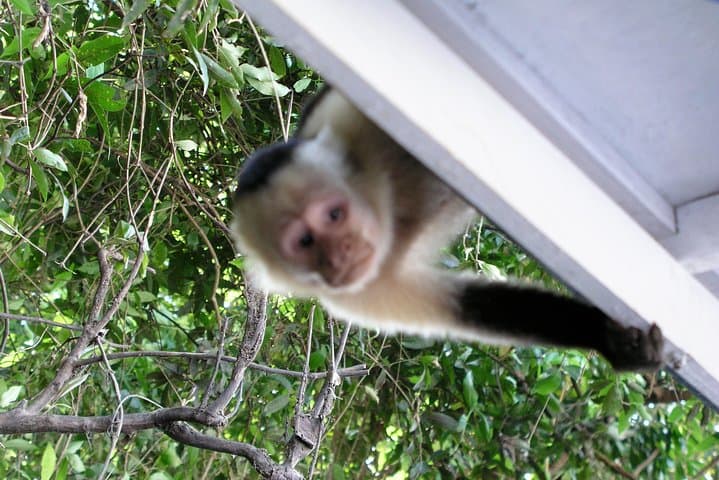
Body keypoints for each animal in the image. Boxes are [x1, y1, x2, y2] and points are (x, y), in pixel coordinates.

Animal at [232, 87, 664, 372]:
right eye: (304, 242)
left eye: (334, 215)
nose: (340, 257)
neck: (391, 209)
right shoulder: (359, 293)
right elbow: (469, 306)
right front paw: (610, 342)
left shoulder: (349, 122)